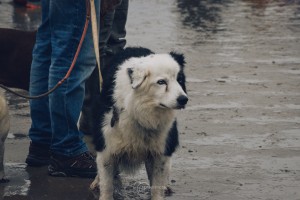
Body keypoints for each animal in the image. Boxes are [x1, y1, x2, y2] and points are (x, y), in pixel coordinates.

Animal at [90, 47, 186, 200]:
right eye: (161, 82)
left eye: (180, 79)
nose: (184, 99)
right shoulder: (107, 146)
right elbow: (107, 184)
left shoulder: (160, 150)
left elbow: (157, 186)